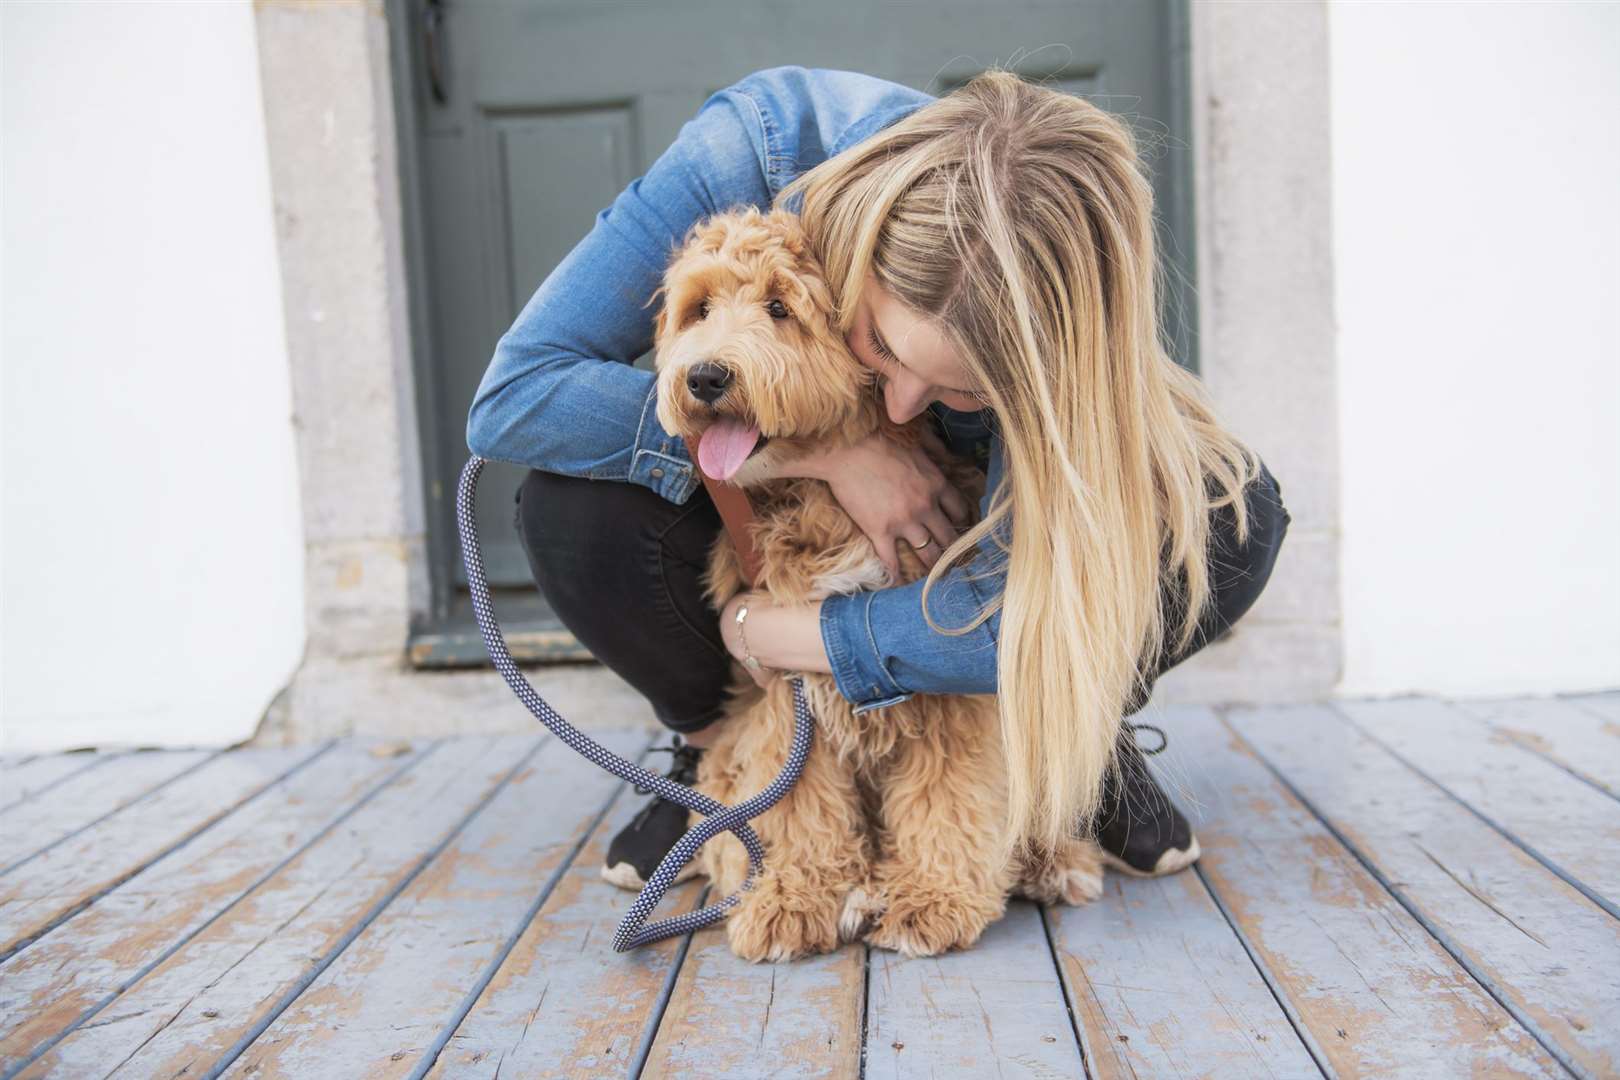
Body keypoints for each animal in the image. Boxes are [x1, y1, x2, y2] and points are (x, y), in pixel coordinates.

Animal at [651, 204, 1108, 965]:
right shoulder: (784, 688)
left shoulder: (939, 679)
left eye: (780, 308)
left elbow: (948, 796)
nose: (705, 377)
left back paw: (1052, 859)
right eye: (701, 308)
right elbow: (794, 801)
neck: (824, 494)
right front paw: (794, 897)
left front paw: (933, 897)